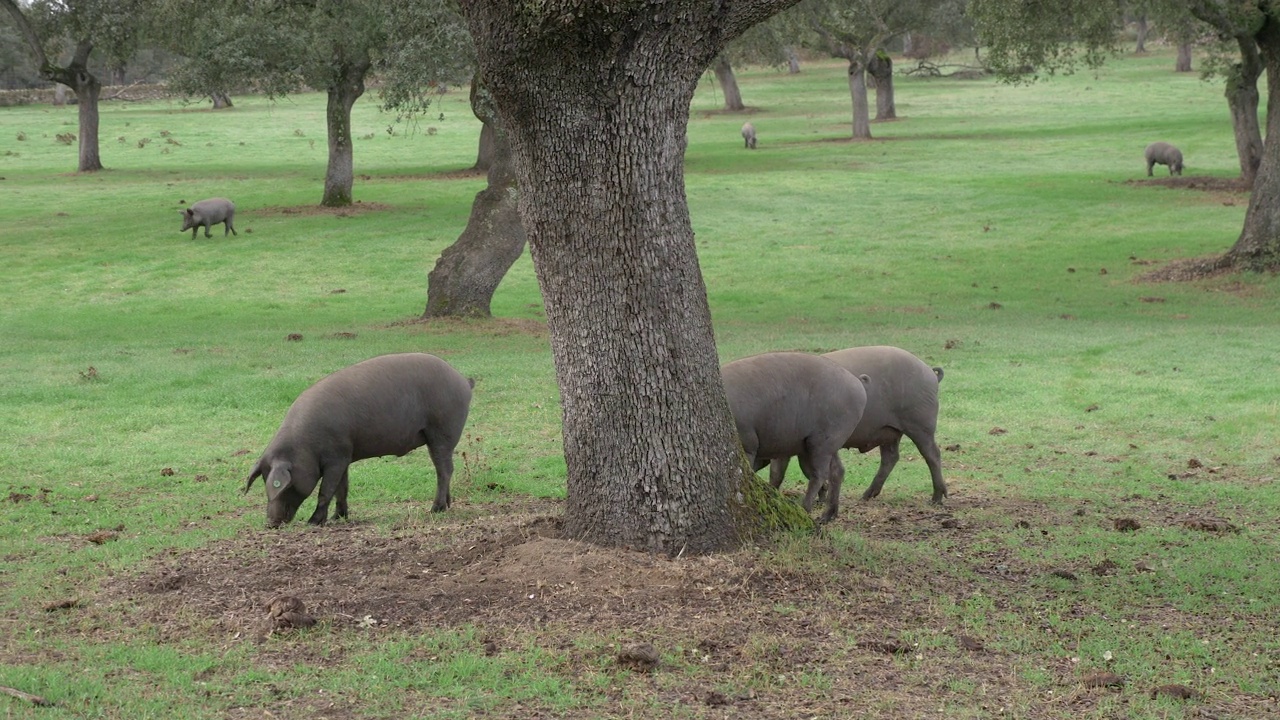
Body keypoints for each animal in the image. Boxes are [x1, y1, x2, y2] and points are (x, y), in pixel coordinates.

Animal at [241, 351, 473, 525]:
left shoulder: (335, 458)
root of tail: (463, 380)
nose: (270, 523)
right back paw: (447, 505)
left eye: (282, 486)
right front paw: (338, 518)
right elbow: (341, 489)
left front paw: (313, 522)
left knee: (444, 470)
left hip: (442, 431)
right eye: (264, 480)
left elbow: (326, 490)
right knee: (446, 470)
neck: (305, 445)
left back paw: (435, 510)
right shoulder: (344, 454)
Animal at [721, 351, 870, 520]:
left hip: (823, 442)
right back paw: (826, 517)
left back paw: (805, 510)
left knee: (820, 474)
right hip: (821, 445)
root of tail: (857, 381)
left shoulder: (748, 445)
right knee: (837, 471)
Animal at [762, 345, 947, 502]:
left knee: (932, 454)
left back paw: (936, 498)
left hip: (921, 422)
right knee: (891, 457)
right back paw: (866, 496)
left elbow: (778, 472)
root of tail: (930, 372)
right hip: (889, 430)